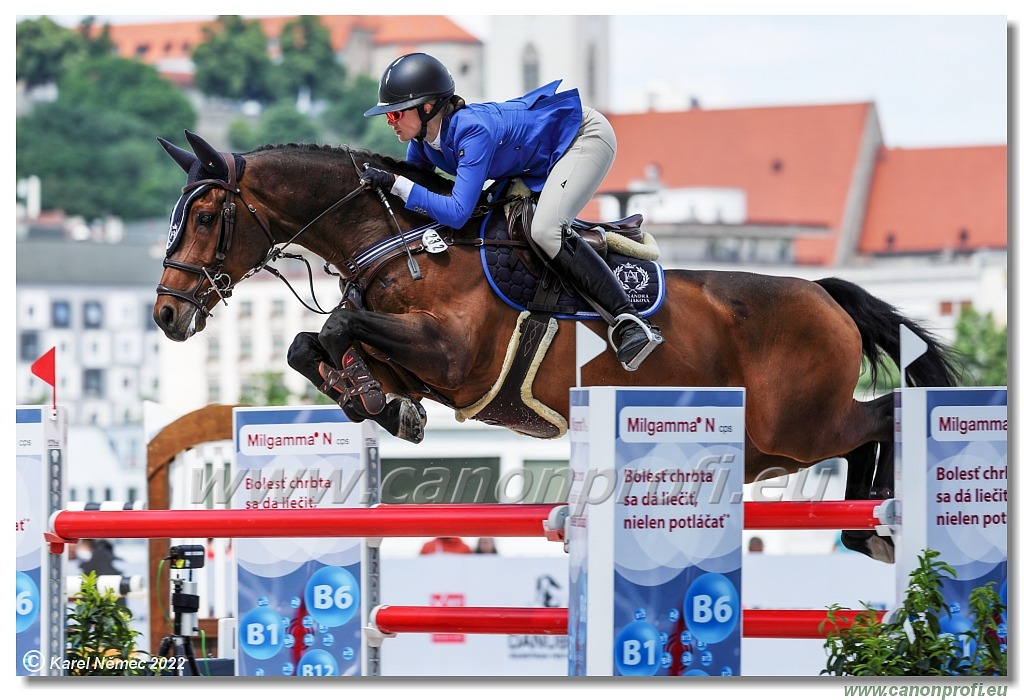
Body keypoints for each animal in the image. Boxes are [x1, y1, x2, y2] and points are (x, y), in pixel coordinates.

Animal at [151, 129, 958, 564]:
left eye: (206, 217)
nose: (165, 314)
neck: (405, 244)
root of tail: (825, 294)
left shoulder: (453, 359)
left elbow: (335, 329)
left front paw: (376, 402)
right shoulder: (419, 365)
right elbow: (310, 343)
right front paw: (377, 405)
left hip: (796, 425)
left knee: (883, 413)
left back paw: (882, 526)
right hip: (773, 445)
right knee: (865, 429)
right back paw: (867, 529)